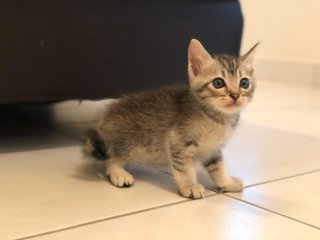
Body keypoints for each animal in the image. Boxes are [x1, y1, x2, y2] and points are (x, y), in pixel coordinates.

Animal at [84, 38, 258, 198]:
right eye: (218, 83)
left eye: (244, 83)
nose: (235, 95)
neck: (218, 118)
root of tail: (104, 118)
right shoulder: (177, 141)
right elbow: (184, 168)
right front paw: (190, 185)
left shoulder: (212, 148)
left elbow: (218, 167)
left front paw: (227, 182)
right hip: (128, 142)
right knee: (111, 157)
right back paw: (119, 173)